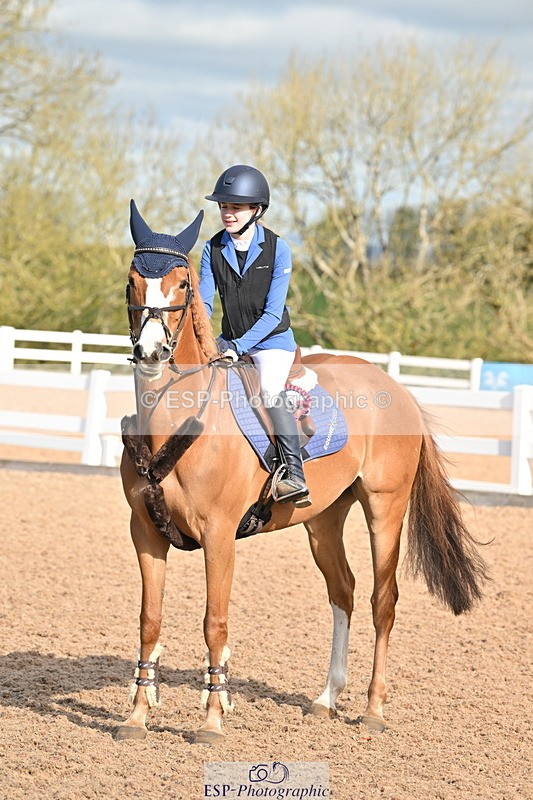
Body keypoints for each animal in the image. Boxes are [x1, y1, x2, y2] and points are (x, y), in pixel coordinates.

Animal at [116, 201, 488, 744]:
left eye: (182, 284)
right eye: (132, 282)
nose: (151, 354)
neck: (175, 425)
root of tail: (396, 387)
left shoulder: (219, 536)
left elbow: (215, 622)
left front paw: (212, 718)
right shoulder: (144, 533)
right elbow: (149, 619)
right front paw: (138, 716)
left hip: (385, 508)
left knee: (382, 599)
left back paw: (373, 710)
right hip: (324, 520)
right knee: (343, 591)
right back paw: (327, 698)